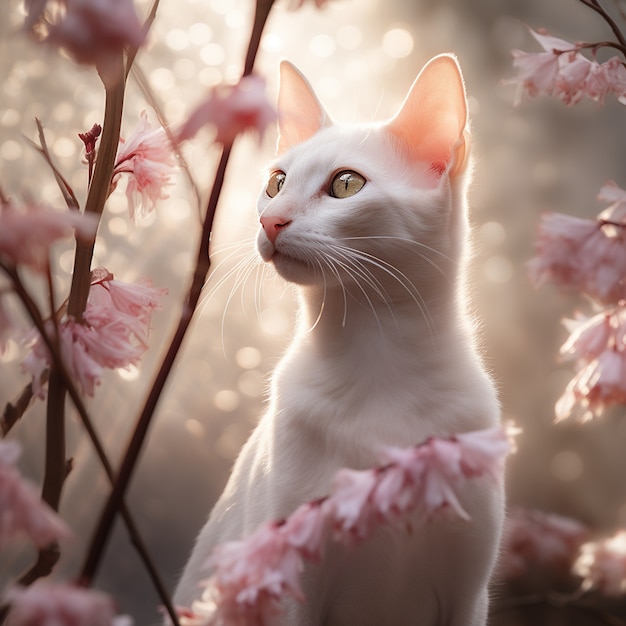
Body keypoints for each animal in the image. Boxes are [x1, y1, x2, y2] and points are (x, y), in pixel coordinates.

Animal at [174, 54, 502, 624]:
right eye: (277, 182)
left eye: (346, 185)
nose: (270, 219)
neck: (379, 358)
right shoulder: (288, 584)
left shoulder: (468, 592)